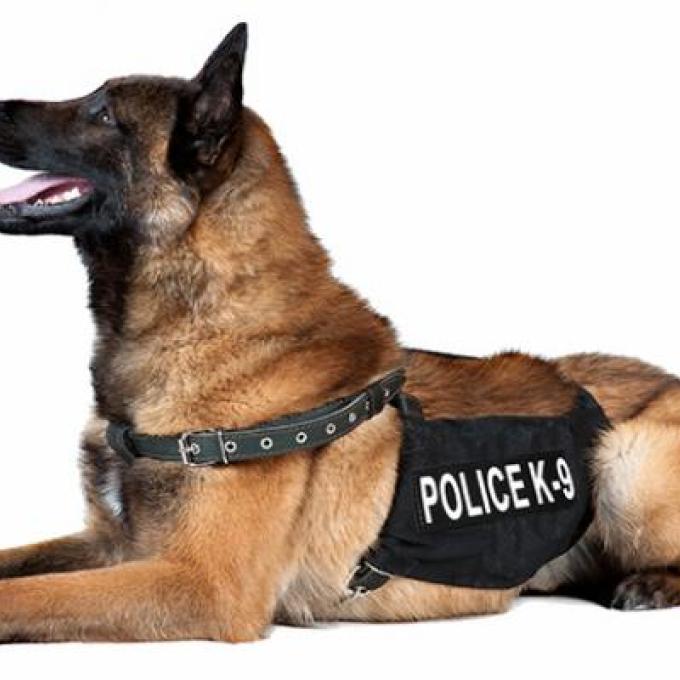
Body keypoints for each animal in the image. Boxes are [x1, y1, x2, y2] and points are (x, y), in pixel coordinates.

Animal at [0, 22, 679, 643]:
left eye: (102, 112)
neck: (205, 319)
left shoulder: (204, 583)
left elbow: (35, 595)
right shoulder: (111, 542)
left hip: (624, 461)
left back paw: (648, 584)